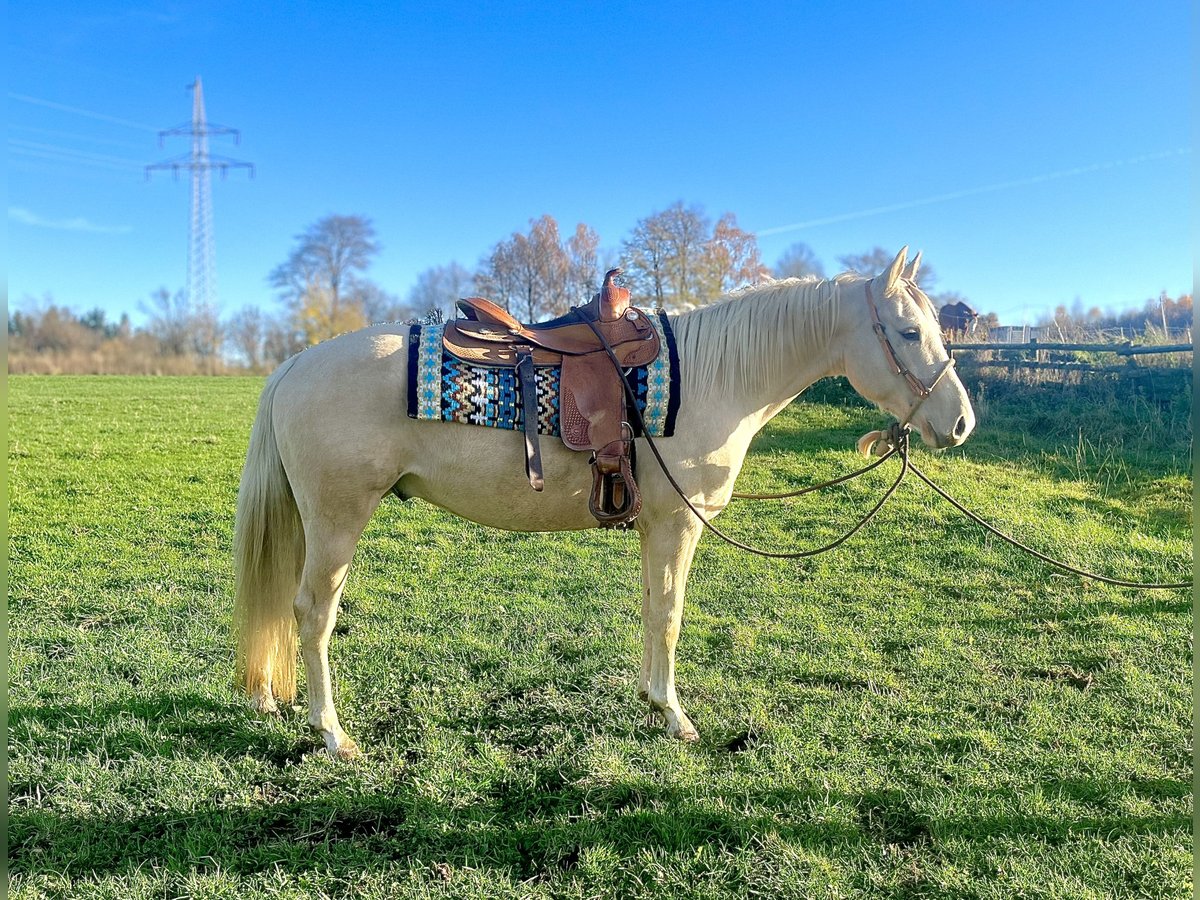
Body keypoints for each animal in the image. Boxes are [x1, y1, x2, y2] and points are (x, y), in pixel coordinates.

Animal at [233, 246, 975, 758]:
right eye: (909, 333)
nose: (961, 423)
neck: (715, 376)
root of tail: (294, 365)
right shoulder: (677, 523)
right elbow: (671, 617)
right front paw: (676, 717)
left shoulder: (653, 525)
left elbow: (652, 611)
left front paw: (651, 702)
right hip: (337, 521)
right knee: (312, 614)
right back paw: (332, 734)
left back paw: (272, 700)